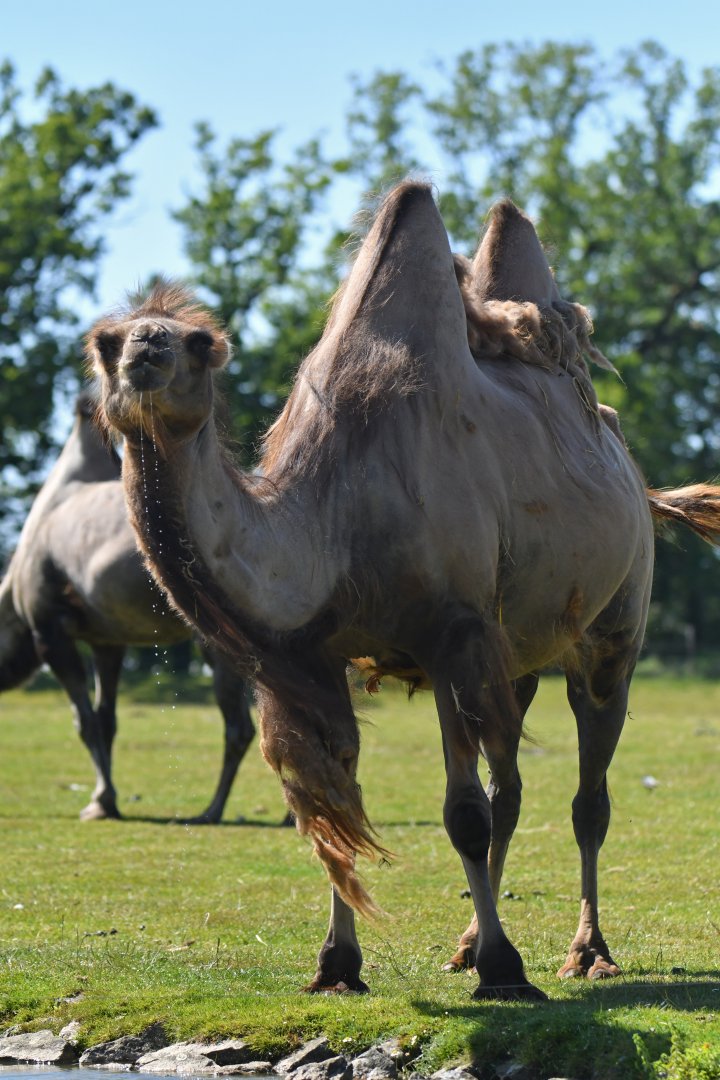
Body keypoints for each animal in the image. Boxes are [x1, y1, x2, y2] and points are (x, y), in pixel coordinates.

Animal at [0, 392, 254, 823]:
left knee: (242, 726)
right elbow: (106, 719)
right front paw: (106, 800)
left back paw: (211, 811)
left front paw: (100, 803)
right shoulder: (108, 640)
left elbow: (84, 721)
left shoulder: (49, 629)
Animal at [88, 182, 720, 1000]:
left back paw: (585, 951)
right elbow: (330, 800)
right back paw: (466, 943)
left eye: (198, 343)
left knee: (588, 795)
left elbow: (463, 814)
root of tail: (636, 480)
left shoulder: (450, 635)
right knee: (513, 785)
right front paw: (338, 965)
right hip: (514, 655)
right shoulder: (323, 656)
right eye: (105, 341)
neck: (338, 516)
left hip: (615, 628)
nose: (142, 353)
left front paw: (505, 970)